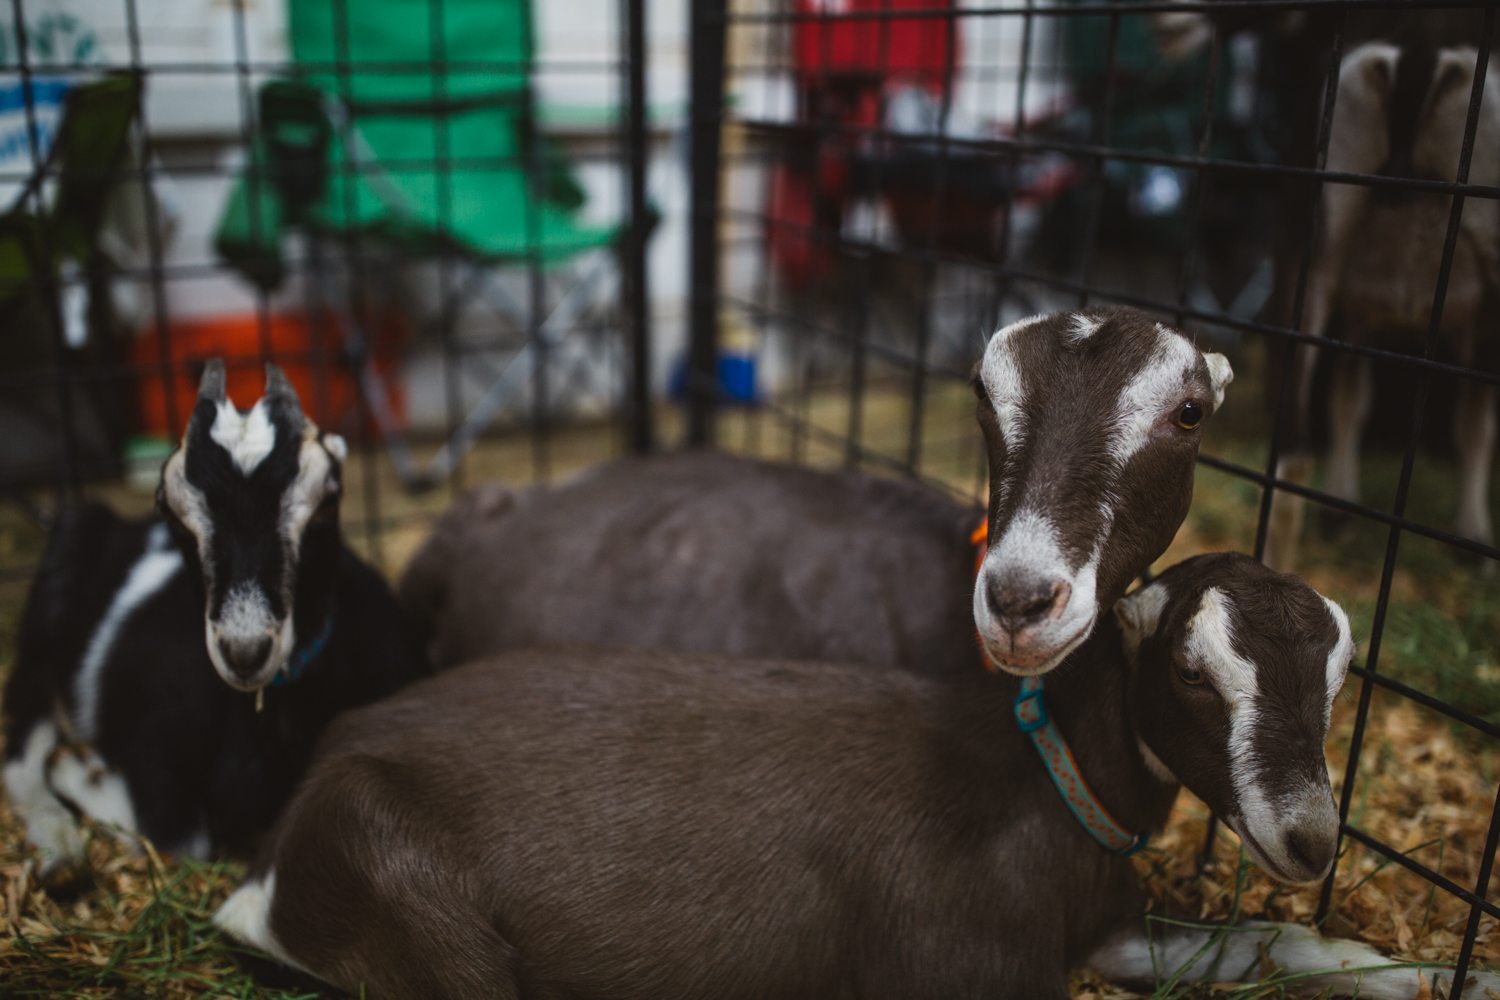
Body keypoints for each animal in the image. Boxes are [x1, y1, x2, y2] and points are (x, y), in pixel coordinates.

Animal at [4, 364, 429, 869]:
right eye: (167, 505)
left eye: (329, 498)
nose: (245, 651)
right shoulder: (151, 739)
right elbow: (180, 839)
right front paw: (84, 773)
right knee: (23, 741)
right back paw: (59, 846)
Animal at [217, 554, 1482, 1000]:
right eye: (1189, 666)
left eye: (1342, 668)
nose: (1309, 837)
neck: (1041, 780)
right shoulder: (966, 969)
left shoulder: (1100, 935)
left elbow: (1273, 943)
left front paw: (1442, 976)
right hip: (418, 899)